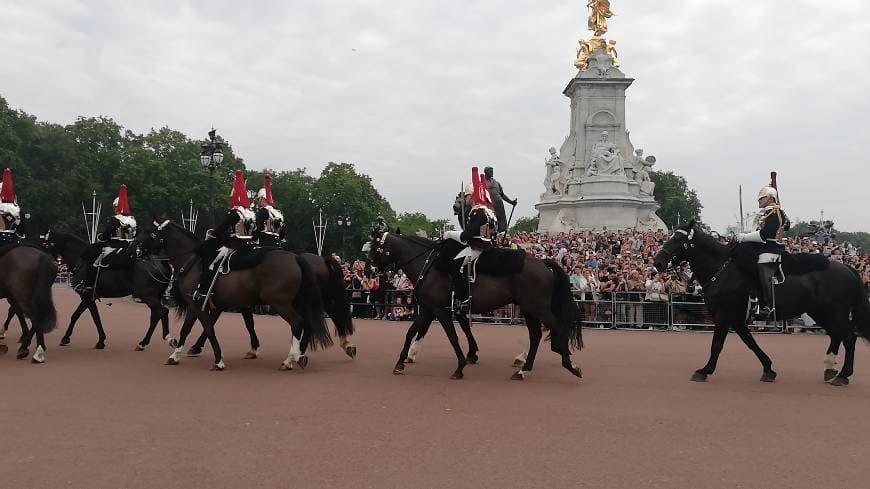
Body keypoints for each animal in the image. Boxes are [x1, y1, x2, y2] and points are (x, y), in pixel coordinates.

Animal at [41, 230, 175, 348]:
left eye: (45, 244)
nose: (42, 259)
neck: (81, 260)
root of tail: (161, 261)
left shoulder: (87, 296)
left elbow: (90, 317)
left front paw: (98, 340)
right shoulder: (89, 298)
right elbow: (84, 316)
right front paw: (99, 340)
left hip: (147, 296)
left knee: (162, 311)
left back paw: (166, 338)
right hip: (154, 296)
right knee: (155, 315)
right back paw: (143, 342)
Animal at [364, 231, 584, 380]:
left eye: (374, 248)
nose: (367, 272)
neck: (428, 266)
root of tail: (543, 263)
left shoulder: (440, 310)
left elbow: (452, 336)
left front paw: (460, 366)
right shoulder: (428, 309)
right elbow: (411, 332)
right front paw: (401, 362)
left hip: (537, 308)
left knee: (557, 327)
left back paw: (569, 364)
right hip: (529, 309)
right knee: (536, 335)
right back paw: (523, 370)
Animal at [656, 221, 868, 386]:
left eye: (678, 240)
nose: (657, 262)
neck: (721, 270)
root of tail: (849, 269)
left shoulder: (724, 315)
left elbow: (717, 344)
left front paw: (704, 370)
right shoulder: (737, 320)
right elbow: (751, 343)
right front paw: (768, 369)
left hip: (835, 312)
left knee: (848, 338)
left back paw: (842, 375)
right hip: (821, 313)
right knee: (838, 336)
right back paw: (831, 369)